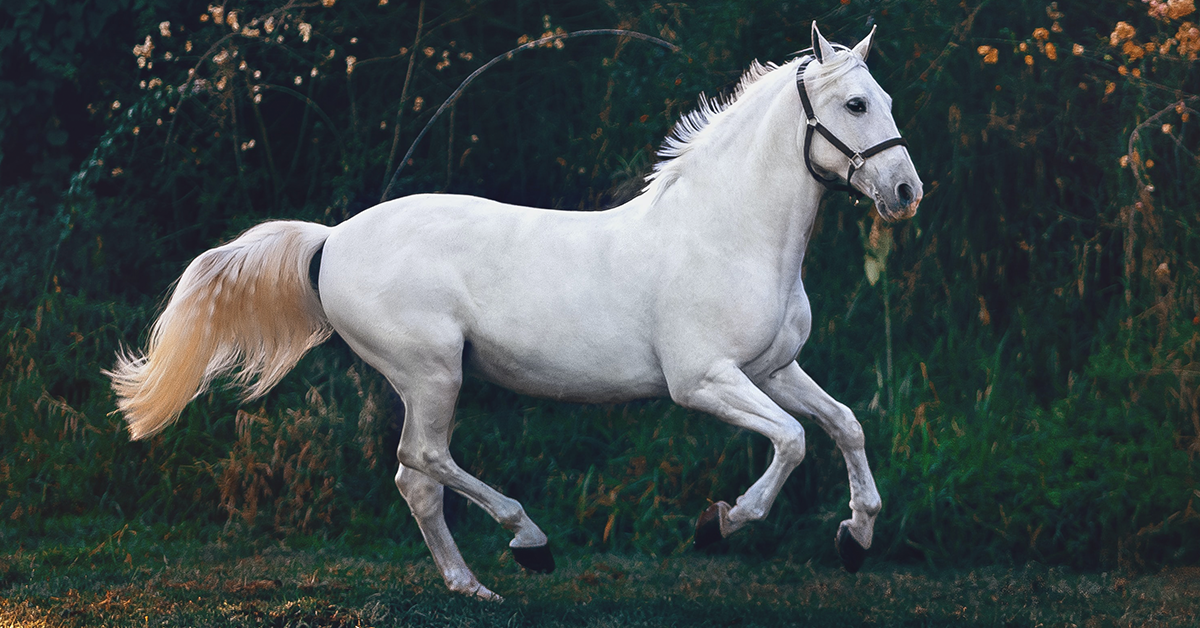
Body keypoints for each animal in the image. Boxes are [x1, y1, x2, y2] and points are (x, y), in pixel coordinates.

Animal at [108, 23, 922, 600]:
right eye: (855, 104)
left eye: (885, 101)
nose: (906, 192)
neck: (728, 234)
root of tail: (332, 239)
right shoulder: (704, 381)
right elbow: (792, 442)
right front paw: (719, 524)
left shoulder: (774, 369)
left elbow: (844, 424)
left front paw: (856, 538)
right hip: (432, 372)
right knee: (423, 461)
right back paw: (528, 542)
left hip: (426, 380)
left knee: (415, 480)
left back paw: (472, 586)